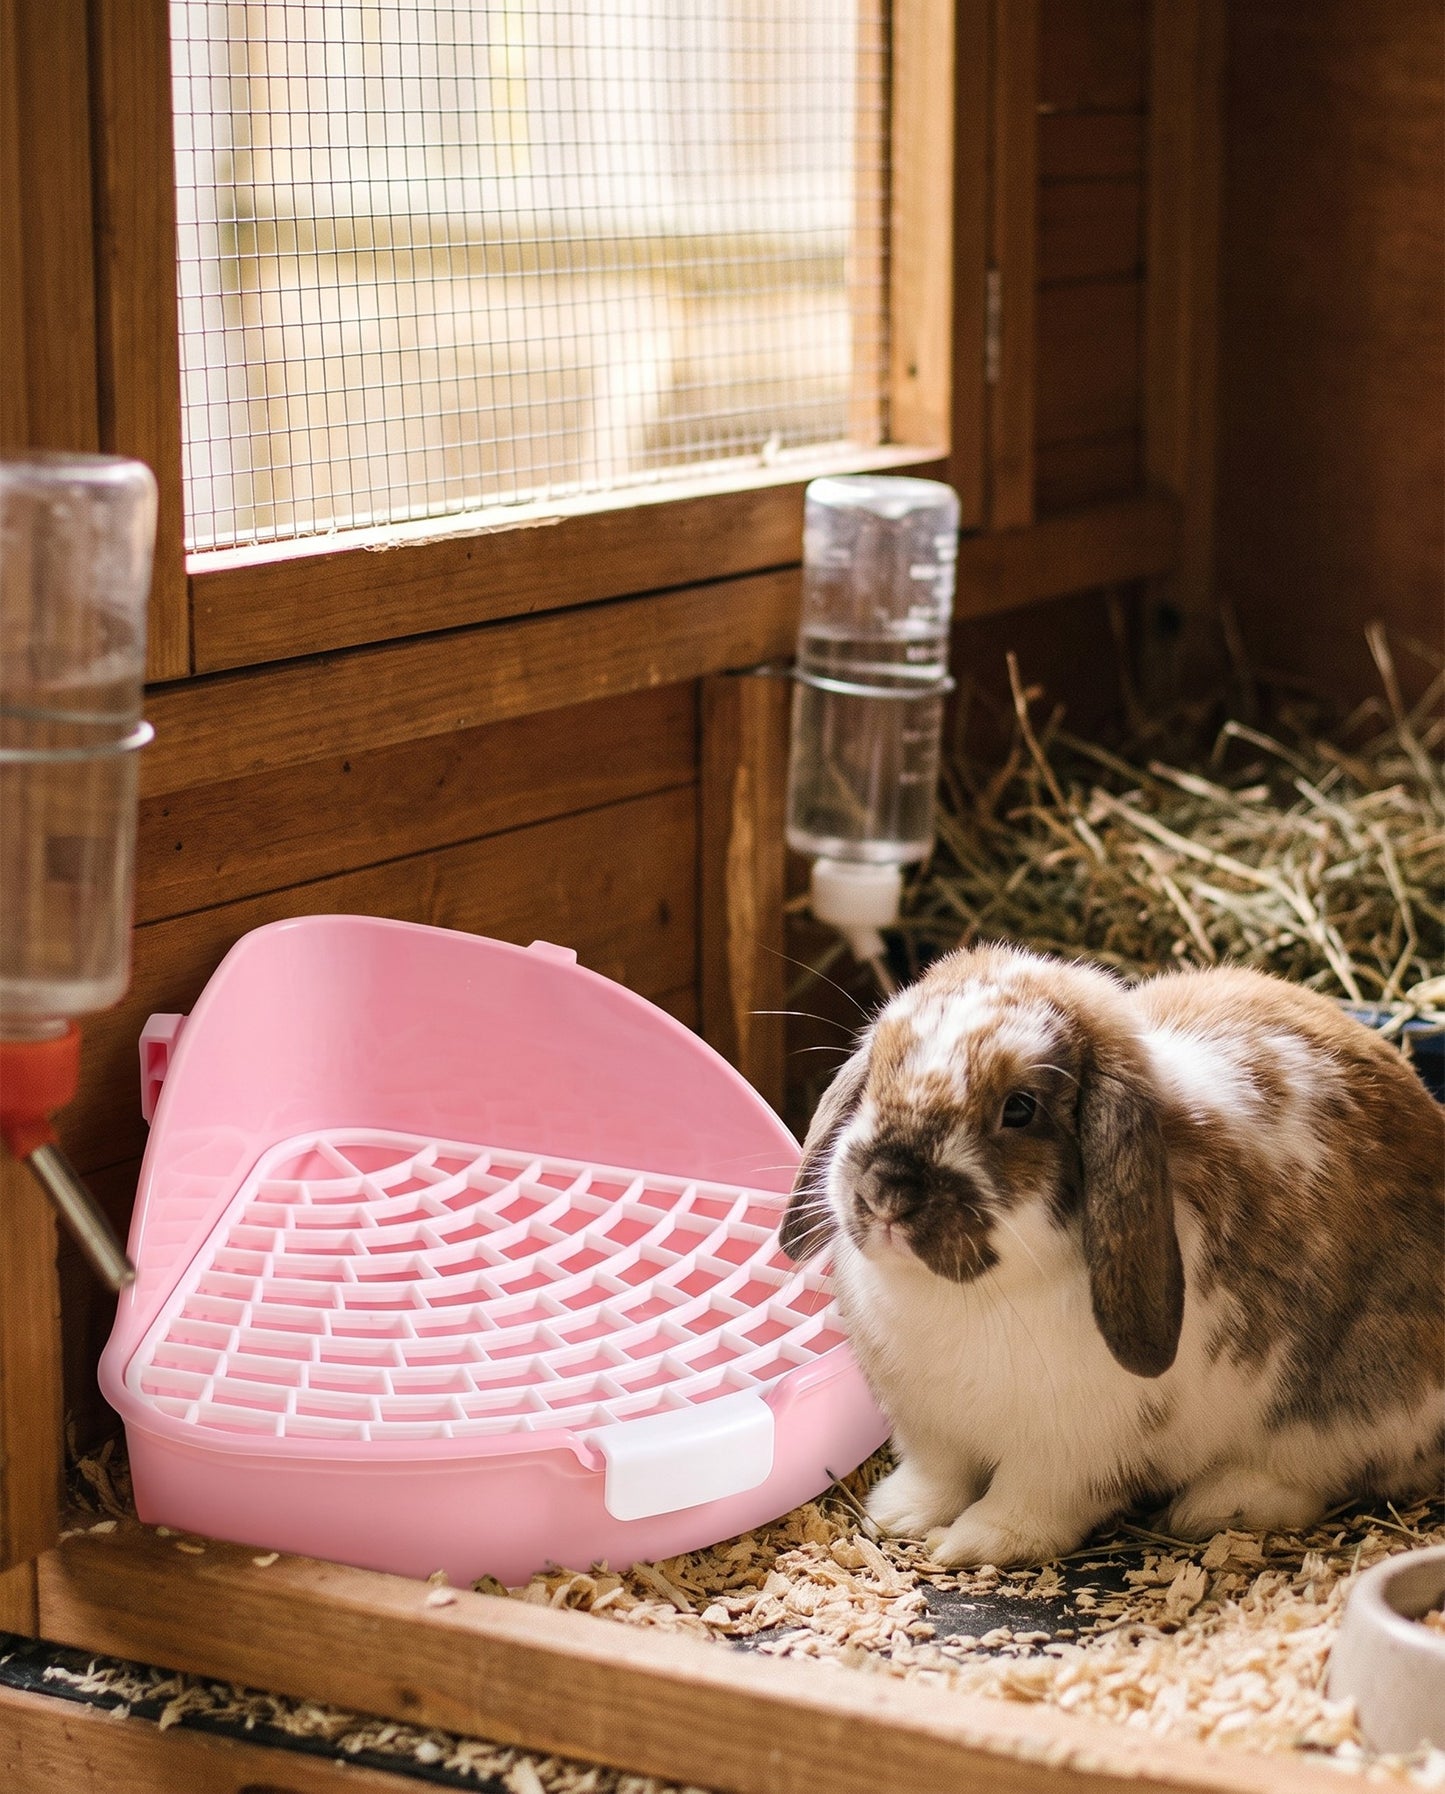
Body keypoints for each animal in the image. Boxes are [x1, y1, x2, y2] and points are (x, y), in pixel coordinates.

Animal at [781, 944, 1445, 1567]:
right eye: (879, 1070)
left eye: (1019, 1108)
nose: (886, 1191)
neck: (963, 1295)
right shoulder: (931, 1429)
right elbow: (936, 1477)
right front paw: (896, 1516)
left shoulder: (1068, 1452)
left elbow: (1028, 1503)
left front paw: (973, 1544)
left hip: (1351, 1407)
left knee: (1314, 1475)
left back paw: (1215, 1506)